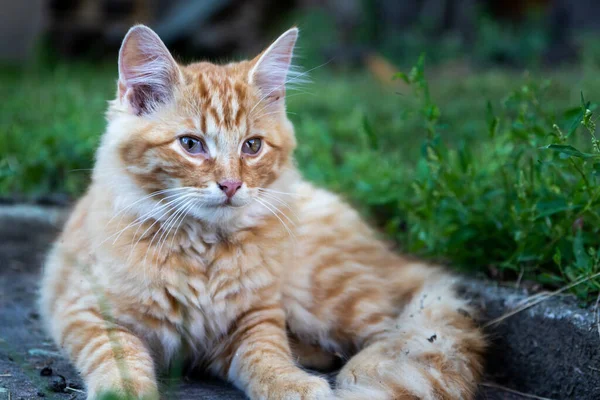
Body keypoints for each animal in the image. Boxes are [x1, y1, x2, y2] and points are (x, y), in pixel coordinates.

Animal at [37, 25, 486, 400]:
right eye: (191, 144)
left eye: (251, 146)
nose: (232, 185)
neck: (201, 248)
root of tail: (392, 257)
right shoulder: (85, 310)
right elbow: (118, 356)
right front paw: (124, 392)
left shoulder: (256, 318)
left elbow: (267, 356)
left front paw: (293, 384)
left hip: (322, 290)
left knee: (395, 332)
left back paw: (360, 369)